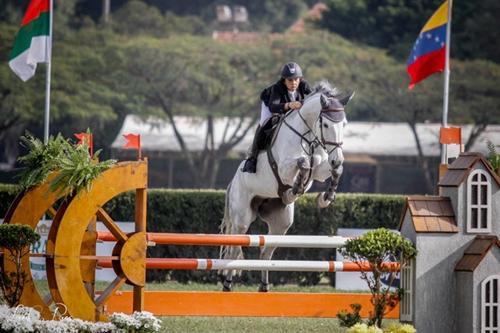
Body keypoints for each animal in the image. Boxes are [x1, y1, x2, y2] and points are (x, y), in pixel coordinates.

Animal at [221, 82, 354, 290]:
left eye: (344, 124)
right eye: (325, 124)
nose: (337, 158)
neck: (308, 135)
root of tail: (232, 183)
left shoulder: (321, 169)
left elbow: (330, 169)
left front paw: (325, 198)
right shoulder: (284, 168)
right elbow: (304, 162)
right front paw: (297, 188)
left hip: (281, 223)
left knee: (266, 252)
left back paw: (264, 287)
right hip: (241, 217)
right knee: (234, 250)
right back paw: (227, 285)